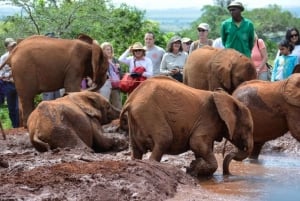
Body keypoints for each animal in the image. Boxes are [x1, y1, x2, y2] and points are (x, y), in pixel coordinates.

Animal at [119, 76, 253, 177]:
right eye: (249, 128)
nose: (227, 174)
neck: (228, 98)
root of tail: (130, 100)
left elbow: (202, 147)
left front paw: (198, 169)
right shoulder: (208, 120)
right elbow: (196, 143)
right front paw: (193, 168)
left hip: (137, 119)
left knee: (136, 150)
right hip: (149, 112)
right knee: (164, 138)